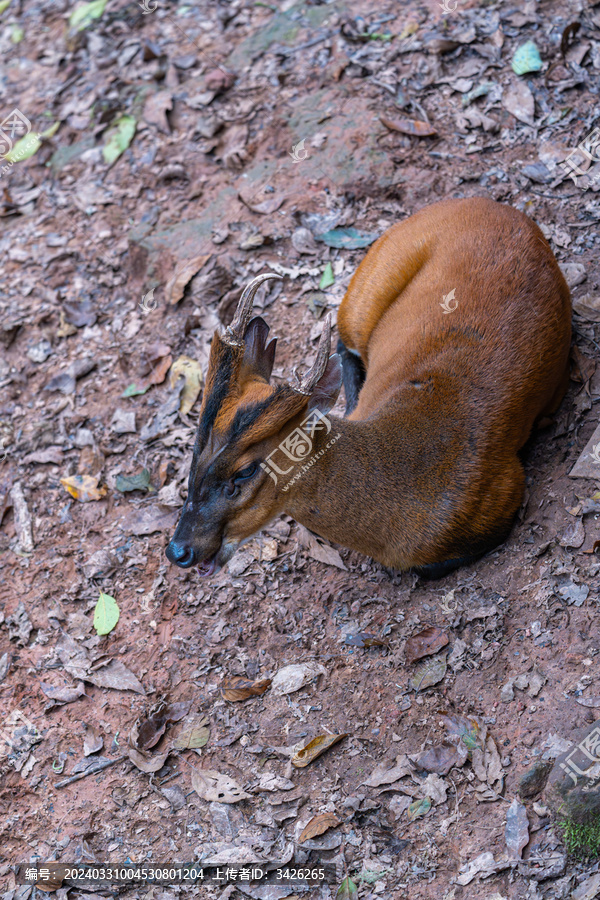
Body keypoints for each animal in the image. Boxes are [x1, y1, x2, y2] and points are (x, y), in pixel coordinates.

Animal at [165, 196, 572, 576]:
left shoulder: (506, 490)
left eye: (246, 470)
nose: (179, 551)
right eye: (194, 454)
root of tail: (486, 202)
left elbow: (429, 567)